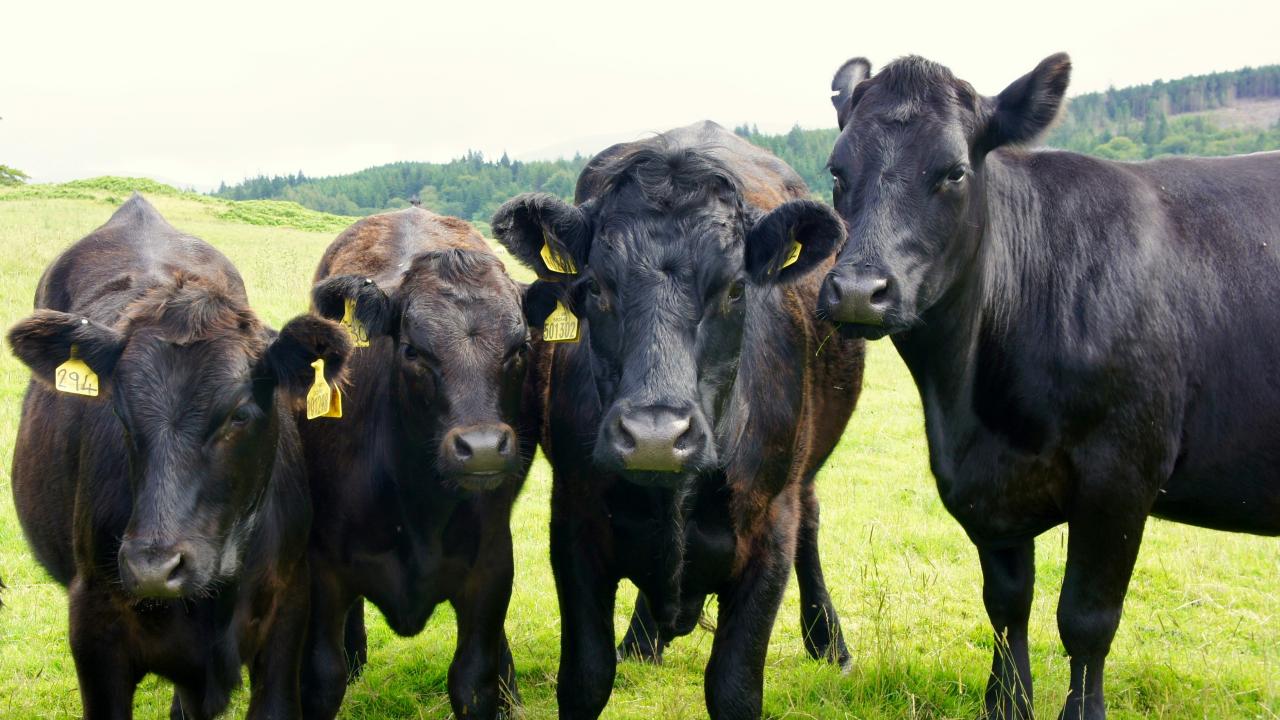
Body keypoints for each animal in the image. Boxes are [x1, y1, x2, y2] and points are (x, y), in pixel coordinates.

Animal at [299, 207, 537, 719]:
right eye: (413, 350)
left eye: (521, 348)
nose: (482, 447)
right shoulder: (321, 572)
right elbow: (322, 679)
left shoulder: (491, 571)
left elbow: (473, 681)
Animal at [492, 120, 865, 719]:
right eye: (595, 286)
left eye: (735, 288)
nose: (654, 439)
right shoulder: (574, 523)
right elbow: (585, 678)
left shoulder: (768, 532)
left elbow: (735, 689)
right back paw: (644, 640)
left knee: (810, 519)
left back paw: (830, 645)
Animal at [818, 53, 1280, 719]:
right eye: (836, 170)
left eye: (954, 172)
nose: (857, 291)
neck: (969, 408)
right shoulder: (987, 490)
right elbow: (1007, 605)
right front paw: (1005, 703)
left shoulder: (1120, 475)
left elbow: (1085, 621)